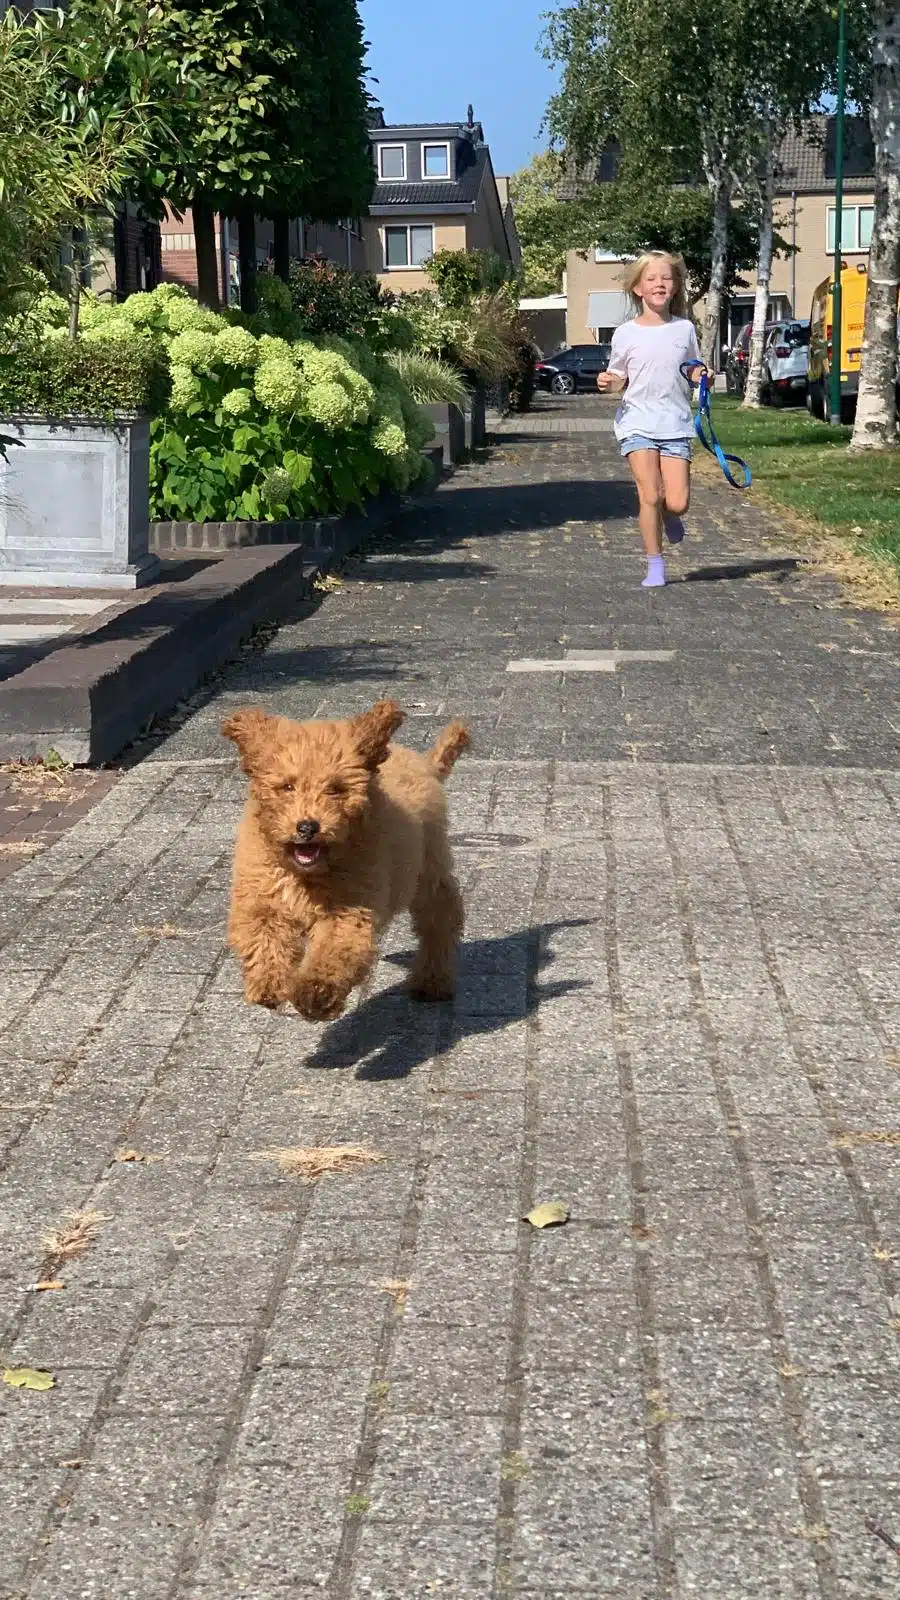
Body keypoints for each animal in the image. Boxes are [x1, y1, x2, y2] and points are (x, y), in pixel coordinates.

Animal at [222, 700, 470, 1024]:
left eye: (335, 788)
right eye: (287, 786)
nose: (307, 827)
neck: (306, 873)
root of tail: (426, 764)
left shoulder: (348, 911)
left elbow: (333, 953)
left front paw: (315, 994)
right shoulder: (262, 898)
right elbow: (264, 937)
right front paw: (269, 984)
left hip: (428, 870)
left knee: (440, 920)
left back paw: (432, 981)